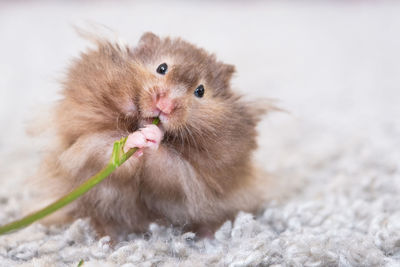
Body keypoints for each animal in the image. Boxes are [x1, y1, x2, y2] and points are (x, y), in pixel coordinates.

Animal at [38, 32, 272, 240]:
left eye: (200, 91)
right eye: (162, 68)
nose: (165, 106)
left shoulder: (186, 180)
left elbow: (167, 166)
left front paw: (152, 135)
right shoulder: (85, 148)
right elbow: (106, 151)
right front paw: (136, 139)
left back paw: (208, 236)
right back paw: (106, 239)